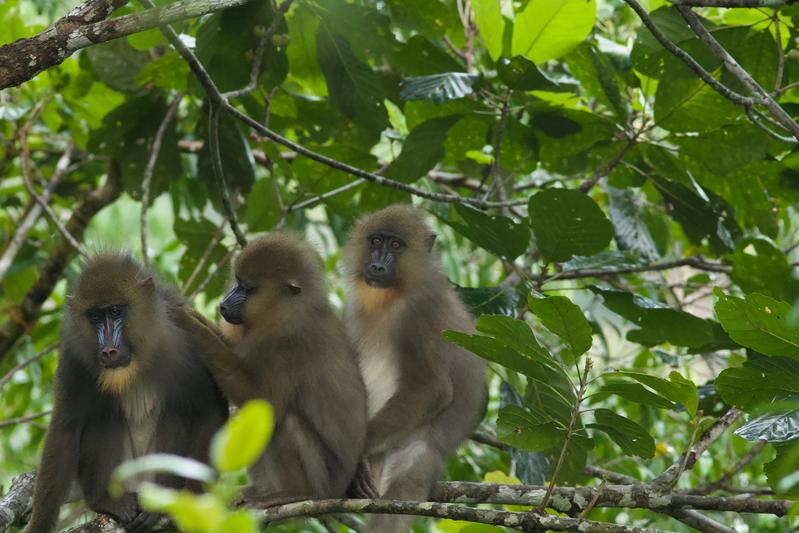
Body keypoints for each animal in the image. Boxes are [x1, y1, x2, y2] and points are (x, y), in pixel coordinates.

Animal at [23, 255, 228, 532]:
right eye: (95, 316)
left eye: (115, 311)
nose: (109, 351)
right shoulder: (75, 358)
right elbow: (65, 427)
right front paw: (39, 525)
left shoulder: (186, 341)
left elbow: (209, 408)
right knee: (104, 417)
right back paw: (108, 501)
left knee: (173, 413)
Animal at [173, 234, 370, 508]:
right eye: (237, 283)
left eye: (247, 289)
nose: (223, 303)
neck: (285, 310)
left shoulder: (286, 345)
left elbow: (266, 402)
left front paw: (191, 326)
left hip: (324, 481)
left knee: (284, 421)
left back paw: (296, 492)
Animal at [344, 204, 488, 532]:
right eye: (376, 241)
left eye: (396, 245)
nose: (377, 265)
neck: (393, 294)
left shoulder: (419, 312)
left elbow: (433, 388)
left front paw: (356, 454)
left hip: (417, 454)